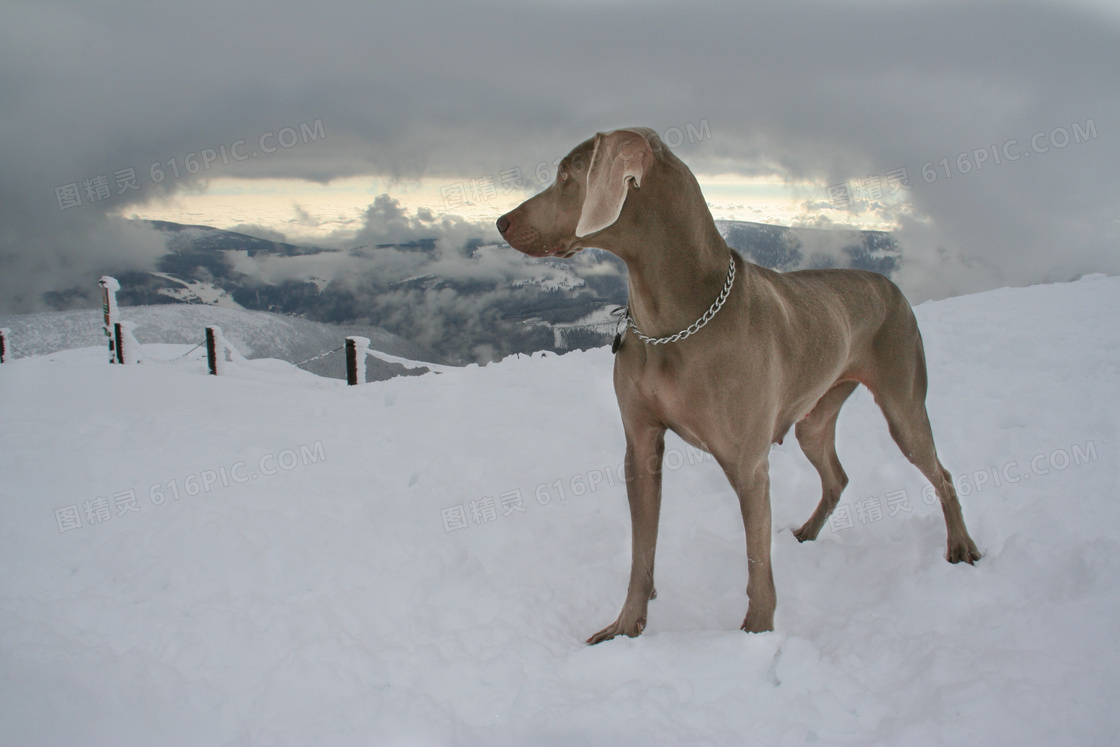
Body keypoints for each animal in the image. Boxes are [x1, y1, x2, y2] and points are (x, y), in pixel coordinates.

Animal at [495, 127, 976, 645]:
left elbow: (757, 564)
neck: (676, 318)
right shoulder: (640, 446)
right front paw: (625, 628)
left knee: (942, 474)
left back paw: (963, 546)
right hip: (814, 415)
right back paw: (807, 533)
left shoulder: (748, 466)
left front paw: (756, 635)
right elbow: (641, 550)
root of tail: (893, 286)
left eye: (568, 174)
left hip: (902, 401)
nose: (501, 222)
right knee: (836, 475)